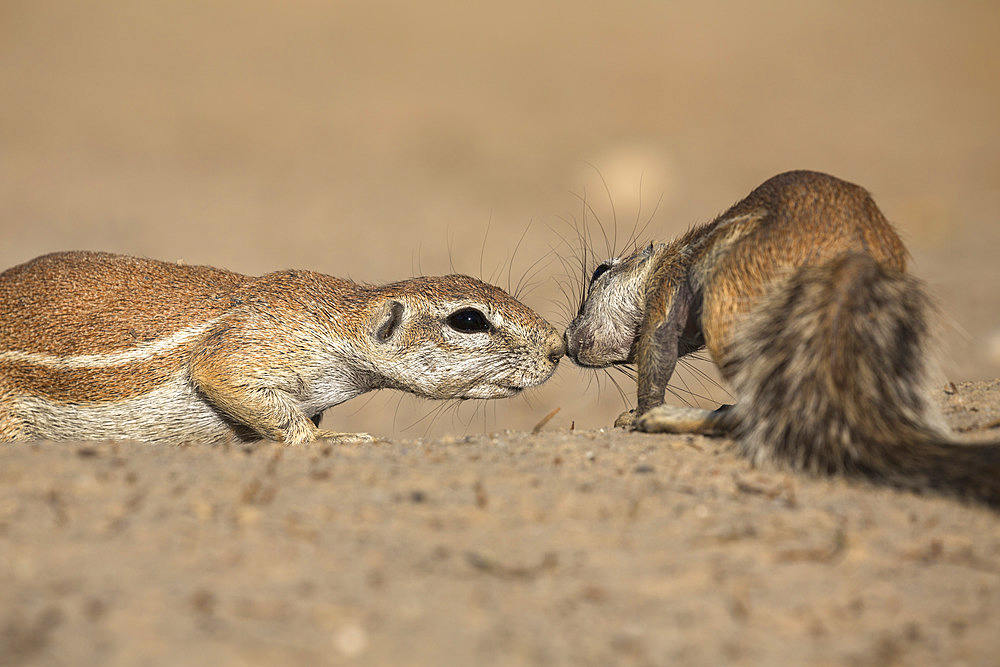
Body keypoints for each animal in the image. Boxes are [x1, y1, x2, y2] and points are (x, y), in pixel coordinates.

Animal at [0, 253, 568, 446]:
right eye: (468, 319)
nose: (559, 346)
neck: (339, 318)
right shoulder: (252, 346)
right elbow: (229, 379)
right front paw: (335, 442)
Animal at [568, 168, 996, 506]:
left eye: (600, 272)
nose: (569, 340)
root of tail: (854, 254)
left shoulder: (666, 287)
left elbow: (657, 348)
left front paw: (639, 414)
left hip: (732, 312)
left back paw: (669, 419)